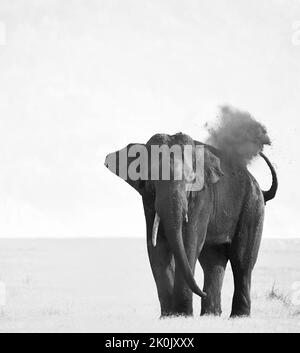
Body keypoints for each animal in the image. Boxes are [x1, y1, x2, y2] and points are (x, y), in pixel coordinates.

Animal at [104, 131, 278, 316]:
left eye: (191, 179)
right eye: (151, 178)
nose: (201, 293)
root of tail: (260, 188)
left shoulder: (202, 197)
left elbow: (189, 242)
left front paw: (182, 315)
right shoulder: (148, 200)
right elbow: (157, 247)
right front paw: (169, 316)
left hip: (253, 206)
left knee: (242, 260)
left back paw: (238, 316)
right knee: (213, 261)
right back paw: (211, 314)